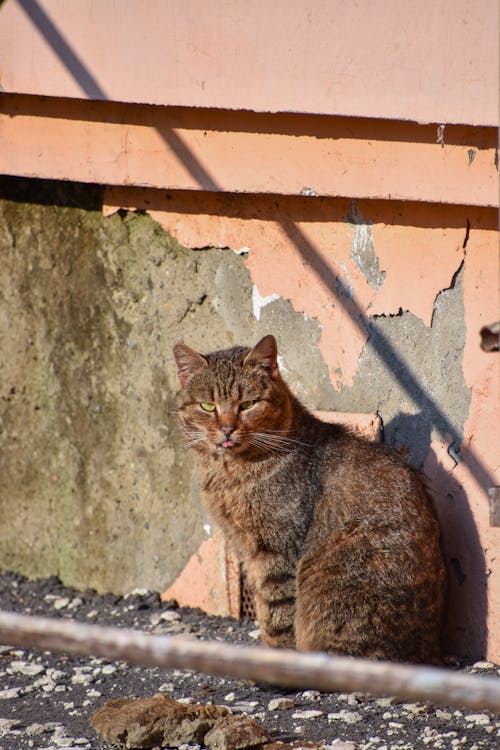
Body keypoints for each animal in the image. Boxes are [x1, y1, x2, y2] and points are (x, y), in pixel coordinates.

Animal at [174, 334, 448, 664]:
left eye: (247, 404)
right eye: (207, 406)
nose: (227, 429)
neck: (230, 472)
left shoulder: (277, 552)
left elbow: (278, 616)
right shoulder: (248, 552)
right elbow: (265, 612)